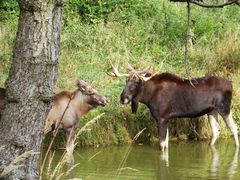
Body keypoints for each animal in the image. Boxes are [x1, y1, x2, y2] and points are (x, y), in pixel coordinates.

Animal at [108, 62, 239, 151]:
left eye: (136, 82)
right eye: (126, 80)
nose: (123, 98)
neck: (148, 96)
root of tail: (231, 84)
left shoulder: (161, 118)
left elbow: (161, 144)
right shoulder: (166, 119)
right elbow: (166, 144)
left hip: (224, 108)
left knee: (234, 127)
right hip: (212, 111)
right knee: (216, 131)